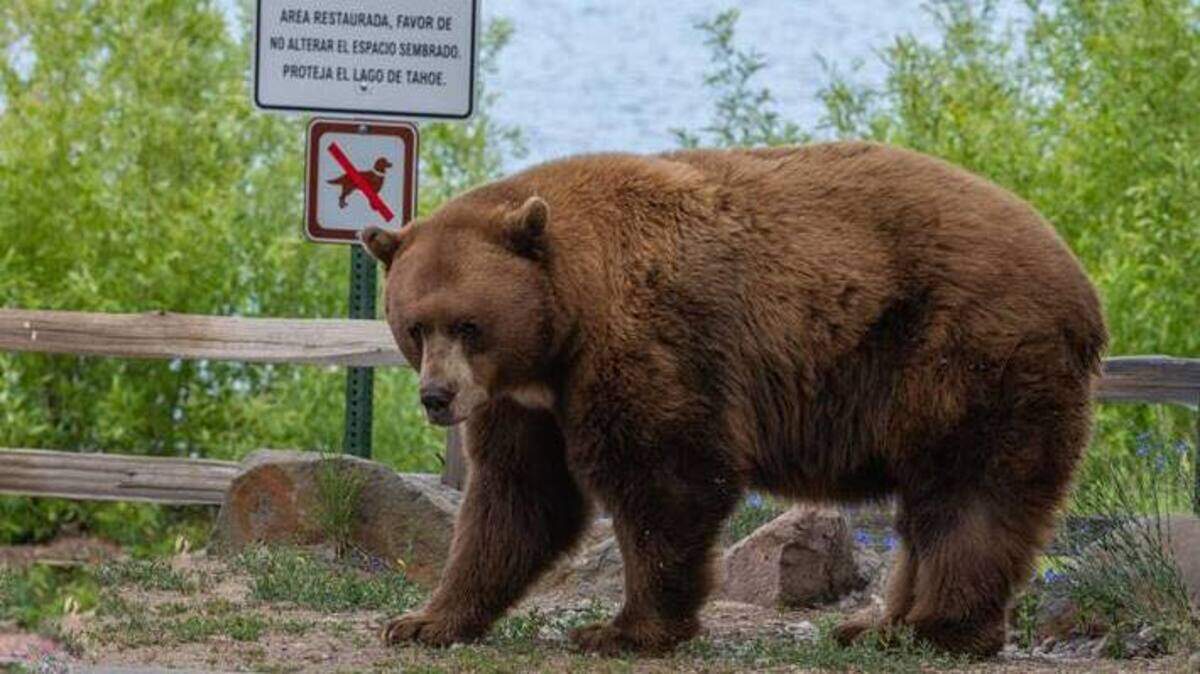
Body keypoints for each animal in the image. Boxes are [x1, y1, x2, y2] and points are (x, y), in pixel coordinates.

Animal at [360, 141, 1107, 657]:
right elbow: (517, 498)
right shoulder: (527, 402)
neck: (562, 324)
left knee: (968, 493)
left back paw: (935, 628)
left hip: (967, 352)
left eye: (469, 325)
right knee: (933, 505)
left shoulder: (648, 344)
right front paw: (423, 620)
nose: (437, 396)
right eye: (415, 325)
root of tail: (1081, 285)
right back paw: (878, 624)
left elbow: (665, 478)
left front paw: (622, 629)